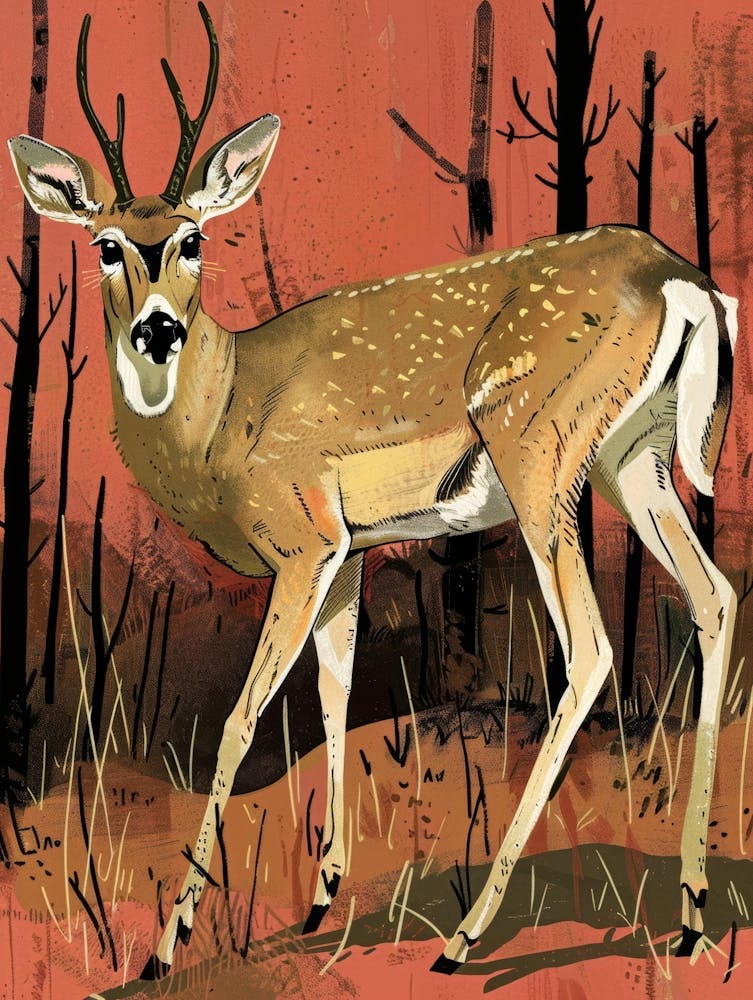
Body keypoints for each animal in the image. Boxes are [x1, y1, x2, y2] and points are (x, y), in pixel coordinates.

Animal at [8, 1, 738, 980]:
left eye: (194, 239)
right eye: (107, 245)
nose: (158, 330)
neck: (221, 421)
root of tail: (686, 283)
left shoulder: (302, 535)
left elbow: (242, 719)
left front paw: (168, 943)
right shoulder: (349, 549)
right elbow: (334, 691)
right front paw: (321, 896)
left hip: (538, 444)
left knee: (587, 647)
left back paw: (466, 935)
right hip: (633, 456)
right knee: (713, 593)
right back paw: (690, 912)